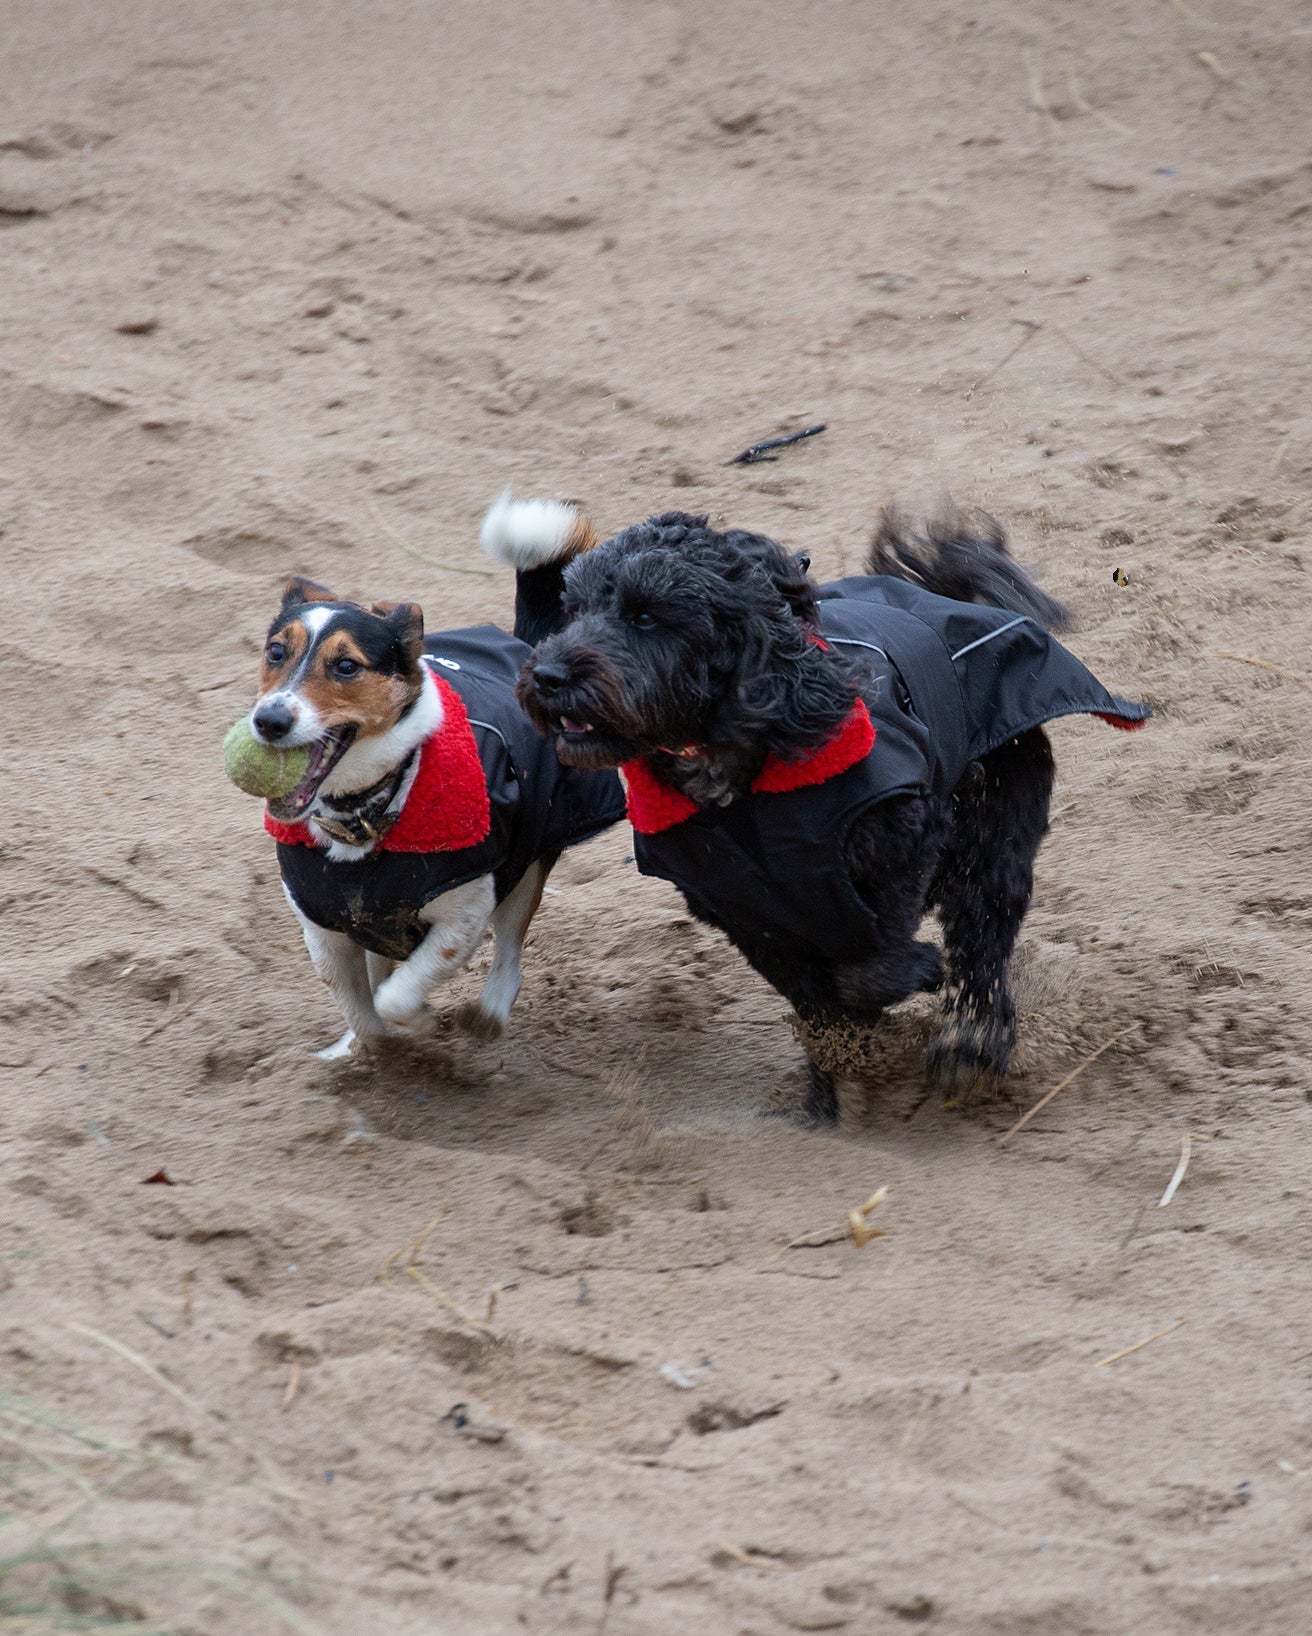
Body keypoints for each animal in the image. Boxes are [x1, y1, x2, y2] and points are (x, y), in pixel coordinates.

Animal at [490, 494, 1145, 1125]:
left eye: (646, 615)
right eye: (573, 608)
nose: (547, 675)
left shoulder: (906, 843)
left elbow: (869, 966)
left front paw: (908, 986)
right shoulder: (748, 917)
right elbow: (818, 1005)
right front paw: (839, 1080)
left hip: (992, 832)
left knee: (982, 934)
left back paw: (972, 1044)